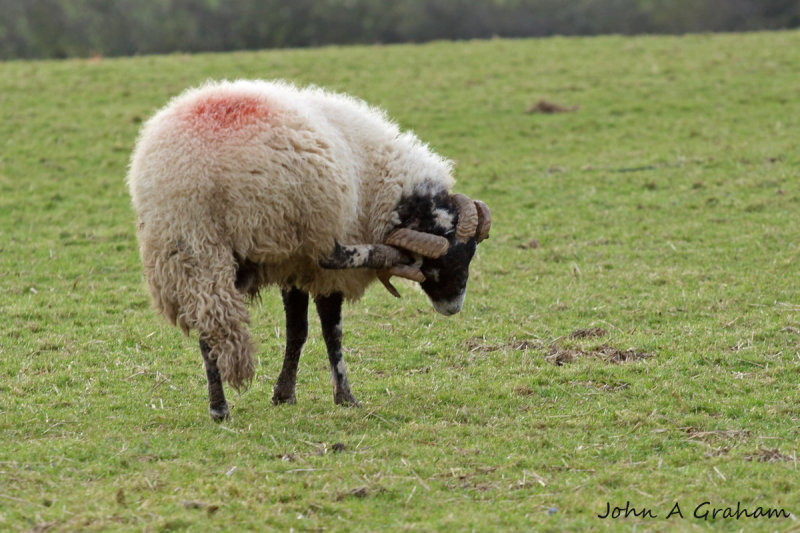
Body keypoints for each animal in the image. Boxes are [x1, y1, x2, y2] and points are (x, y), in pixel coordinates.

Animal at [128, 80, 490, 420]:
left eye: (470, 253)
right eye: (432, 263)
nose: (452, 306)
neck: (380, 183)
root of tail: (198, 179)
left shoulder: (291, 266)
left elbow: (297, 332)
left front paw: (283, 394)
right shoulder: (312, 267)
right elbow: (331, 333)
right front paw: (344, 397)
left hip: (189, 252)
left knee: (209, 331)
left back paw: (219, 409)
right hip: (275, 237)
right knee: (333, 259)